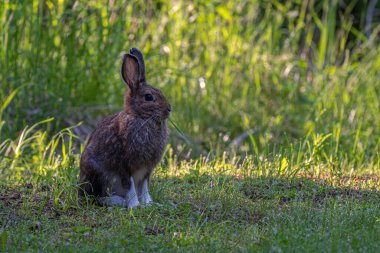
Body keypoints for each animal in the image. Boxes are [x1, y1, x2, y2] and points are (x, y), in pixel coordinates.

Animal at [78, 47, 171, 208]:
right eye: (148, 97)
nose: (169, 109)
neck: (141, 118)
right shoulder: (125, 166)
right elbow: (130, 185)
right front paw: (135, 205)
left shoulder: (147, 169)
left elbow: (144, 186)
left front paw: (148, 203)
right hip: (96, 175)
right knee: (97, 198)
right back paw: (120, 201)